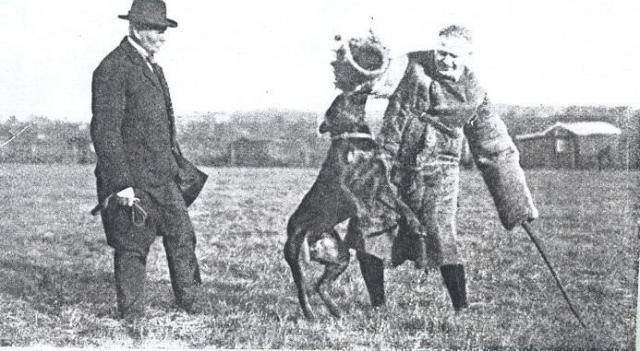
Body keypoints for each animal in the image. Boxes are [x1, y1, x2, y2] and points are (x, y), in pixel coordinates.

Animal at [284, 91, 440, 320]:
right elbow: (358, 204)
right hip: (295, 255)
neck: (355, 139)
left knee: (321, 286)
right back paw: (311, 314)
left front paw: (415, 223)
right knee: (302, 288)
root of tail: (313, 240)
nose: (355, 89)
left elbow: (401, 204)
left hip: (340, 257)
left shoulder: (381, 184)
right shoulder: (341, 184)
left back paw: (336, 311)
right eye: (337, 102)